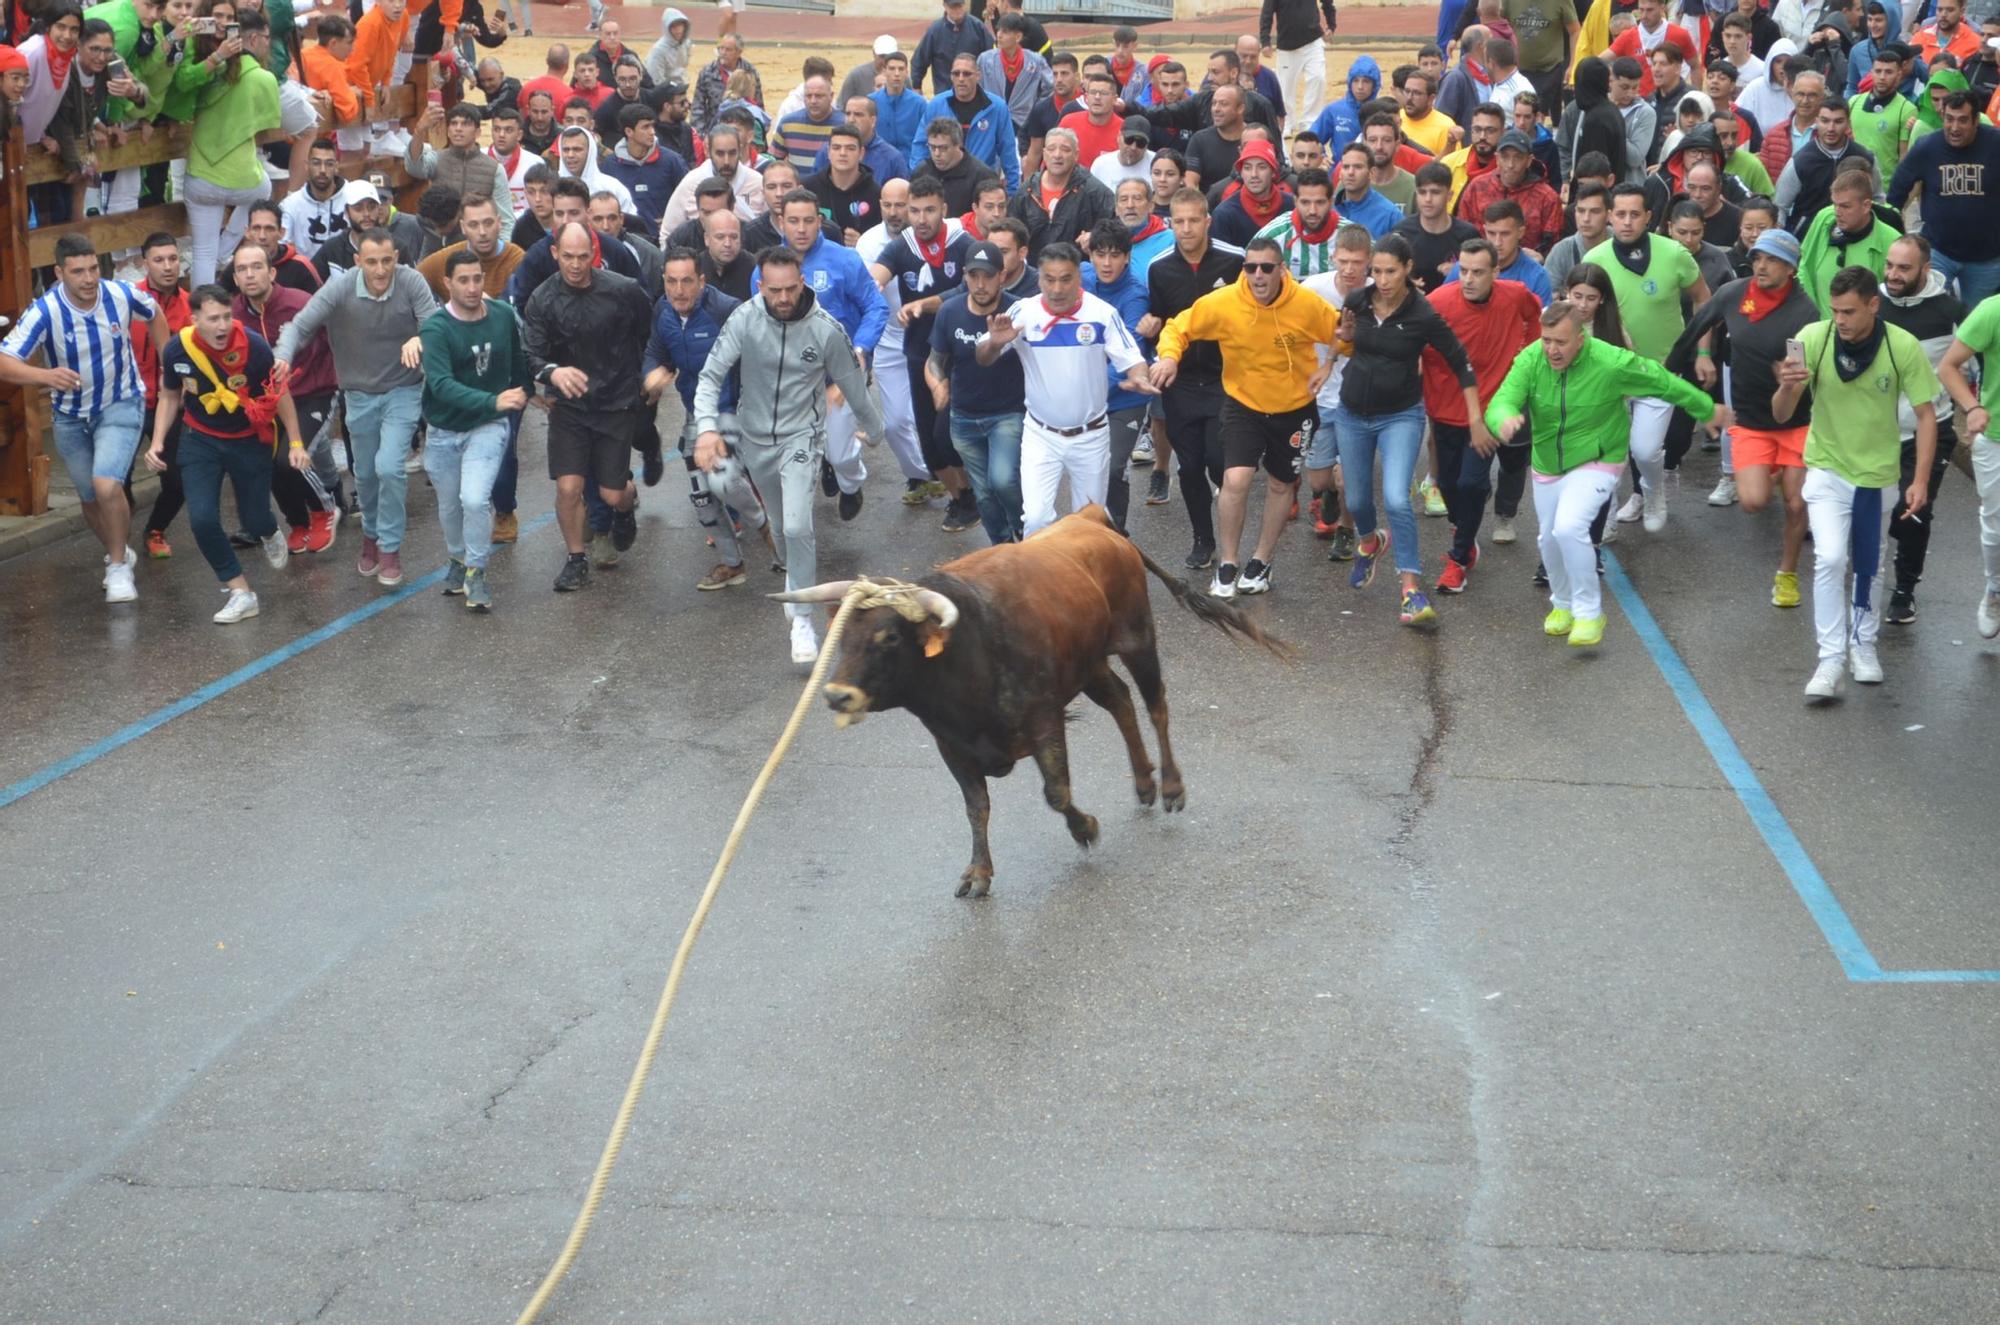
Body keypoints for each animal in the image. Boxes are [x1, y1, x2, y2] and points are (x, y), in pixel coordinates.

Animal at [772, 508, 1288, 904]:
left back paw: (1171, 787)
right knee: (1121, 702)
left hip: (1138, 639)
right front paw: (978, 873)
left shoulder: (1044, 720)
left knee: (1155, 704)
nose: (837, 694)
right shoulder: (952, 747)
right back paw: (1143, 783)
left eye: (889, 637)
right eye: (841, 633)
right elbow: (976, 807)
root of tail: (1091, 517)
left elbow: (1055, 792)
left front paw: (1086, 828)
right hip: (1089, 664)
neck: (968, 654)